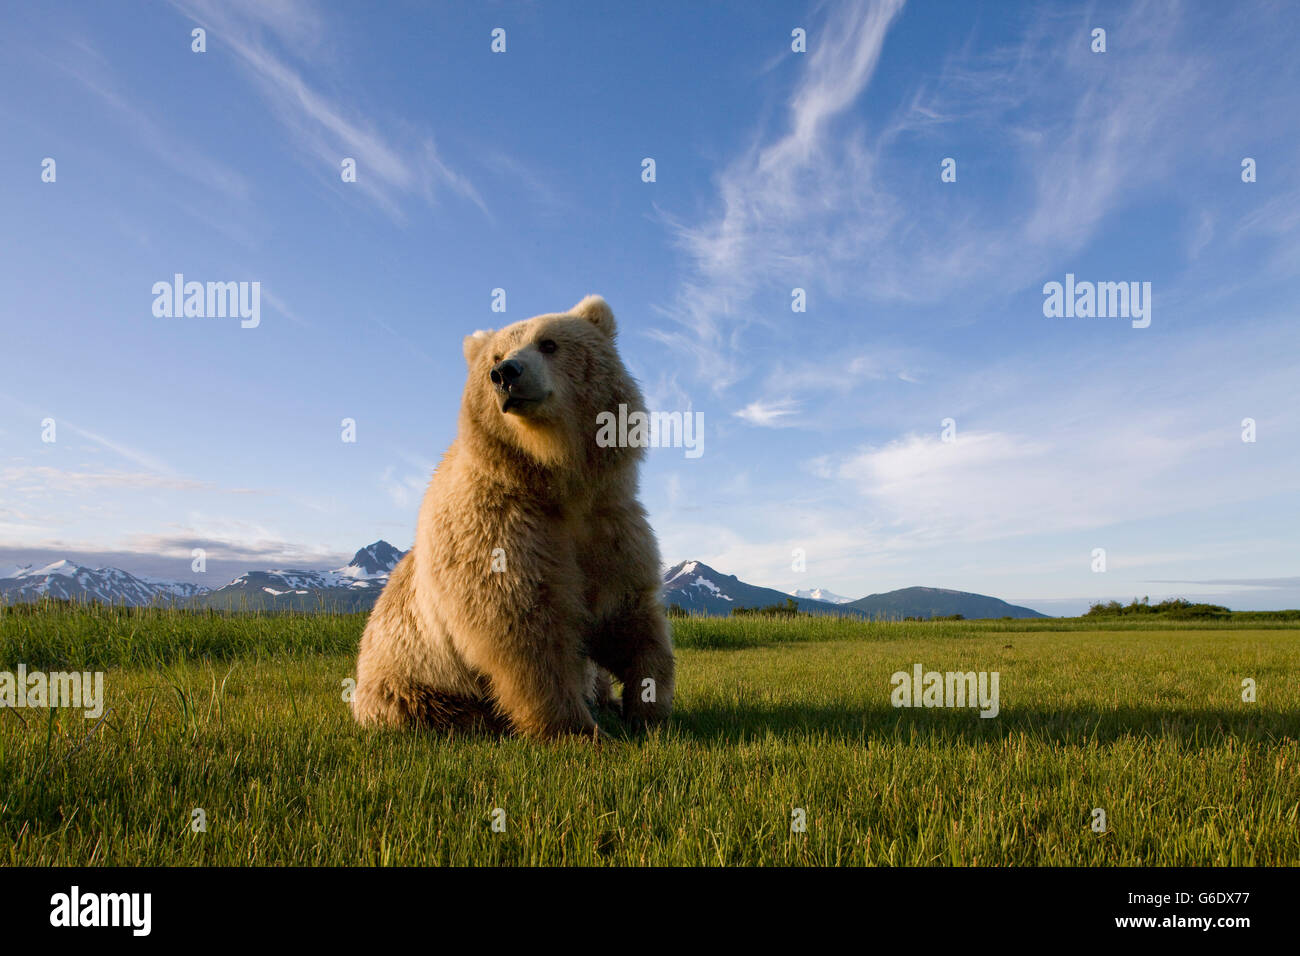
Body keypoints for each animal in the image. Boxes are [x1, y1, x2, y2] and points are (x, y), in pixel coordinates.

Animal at [353, 297, 676, 738]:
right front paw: (578, 731)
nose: (505, 374)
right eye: (496, 355)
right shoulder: (500, 528)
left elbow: (627, 614)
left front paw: (648, 706)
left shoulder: (609, 523)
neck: (556, 479)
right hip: (408, 682)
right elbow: (524, 629)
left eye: (549, 343)